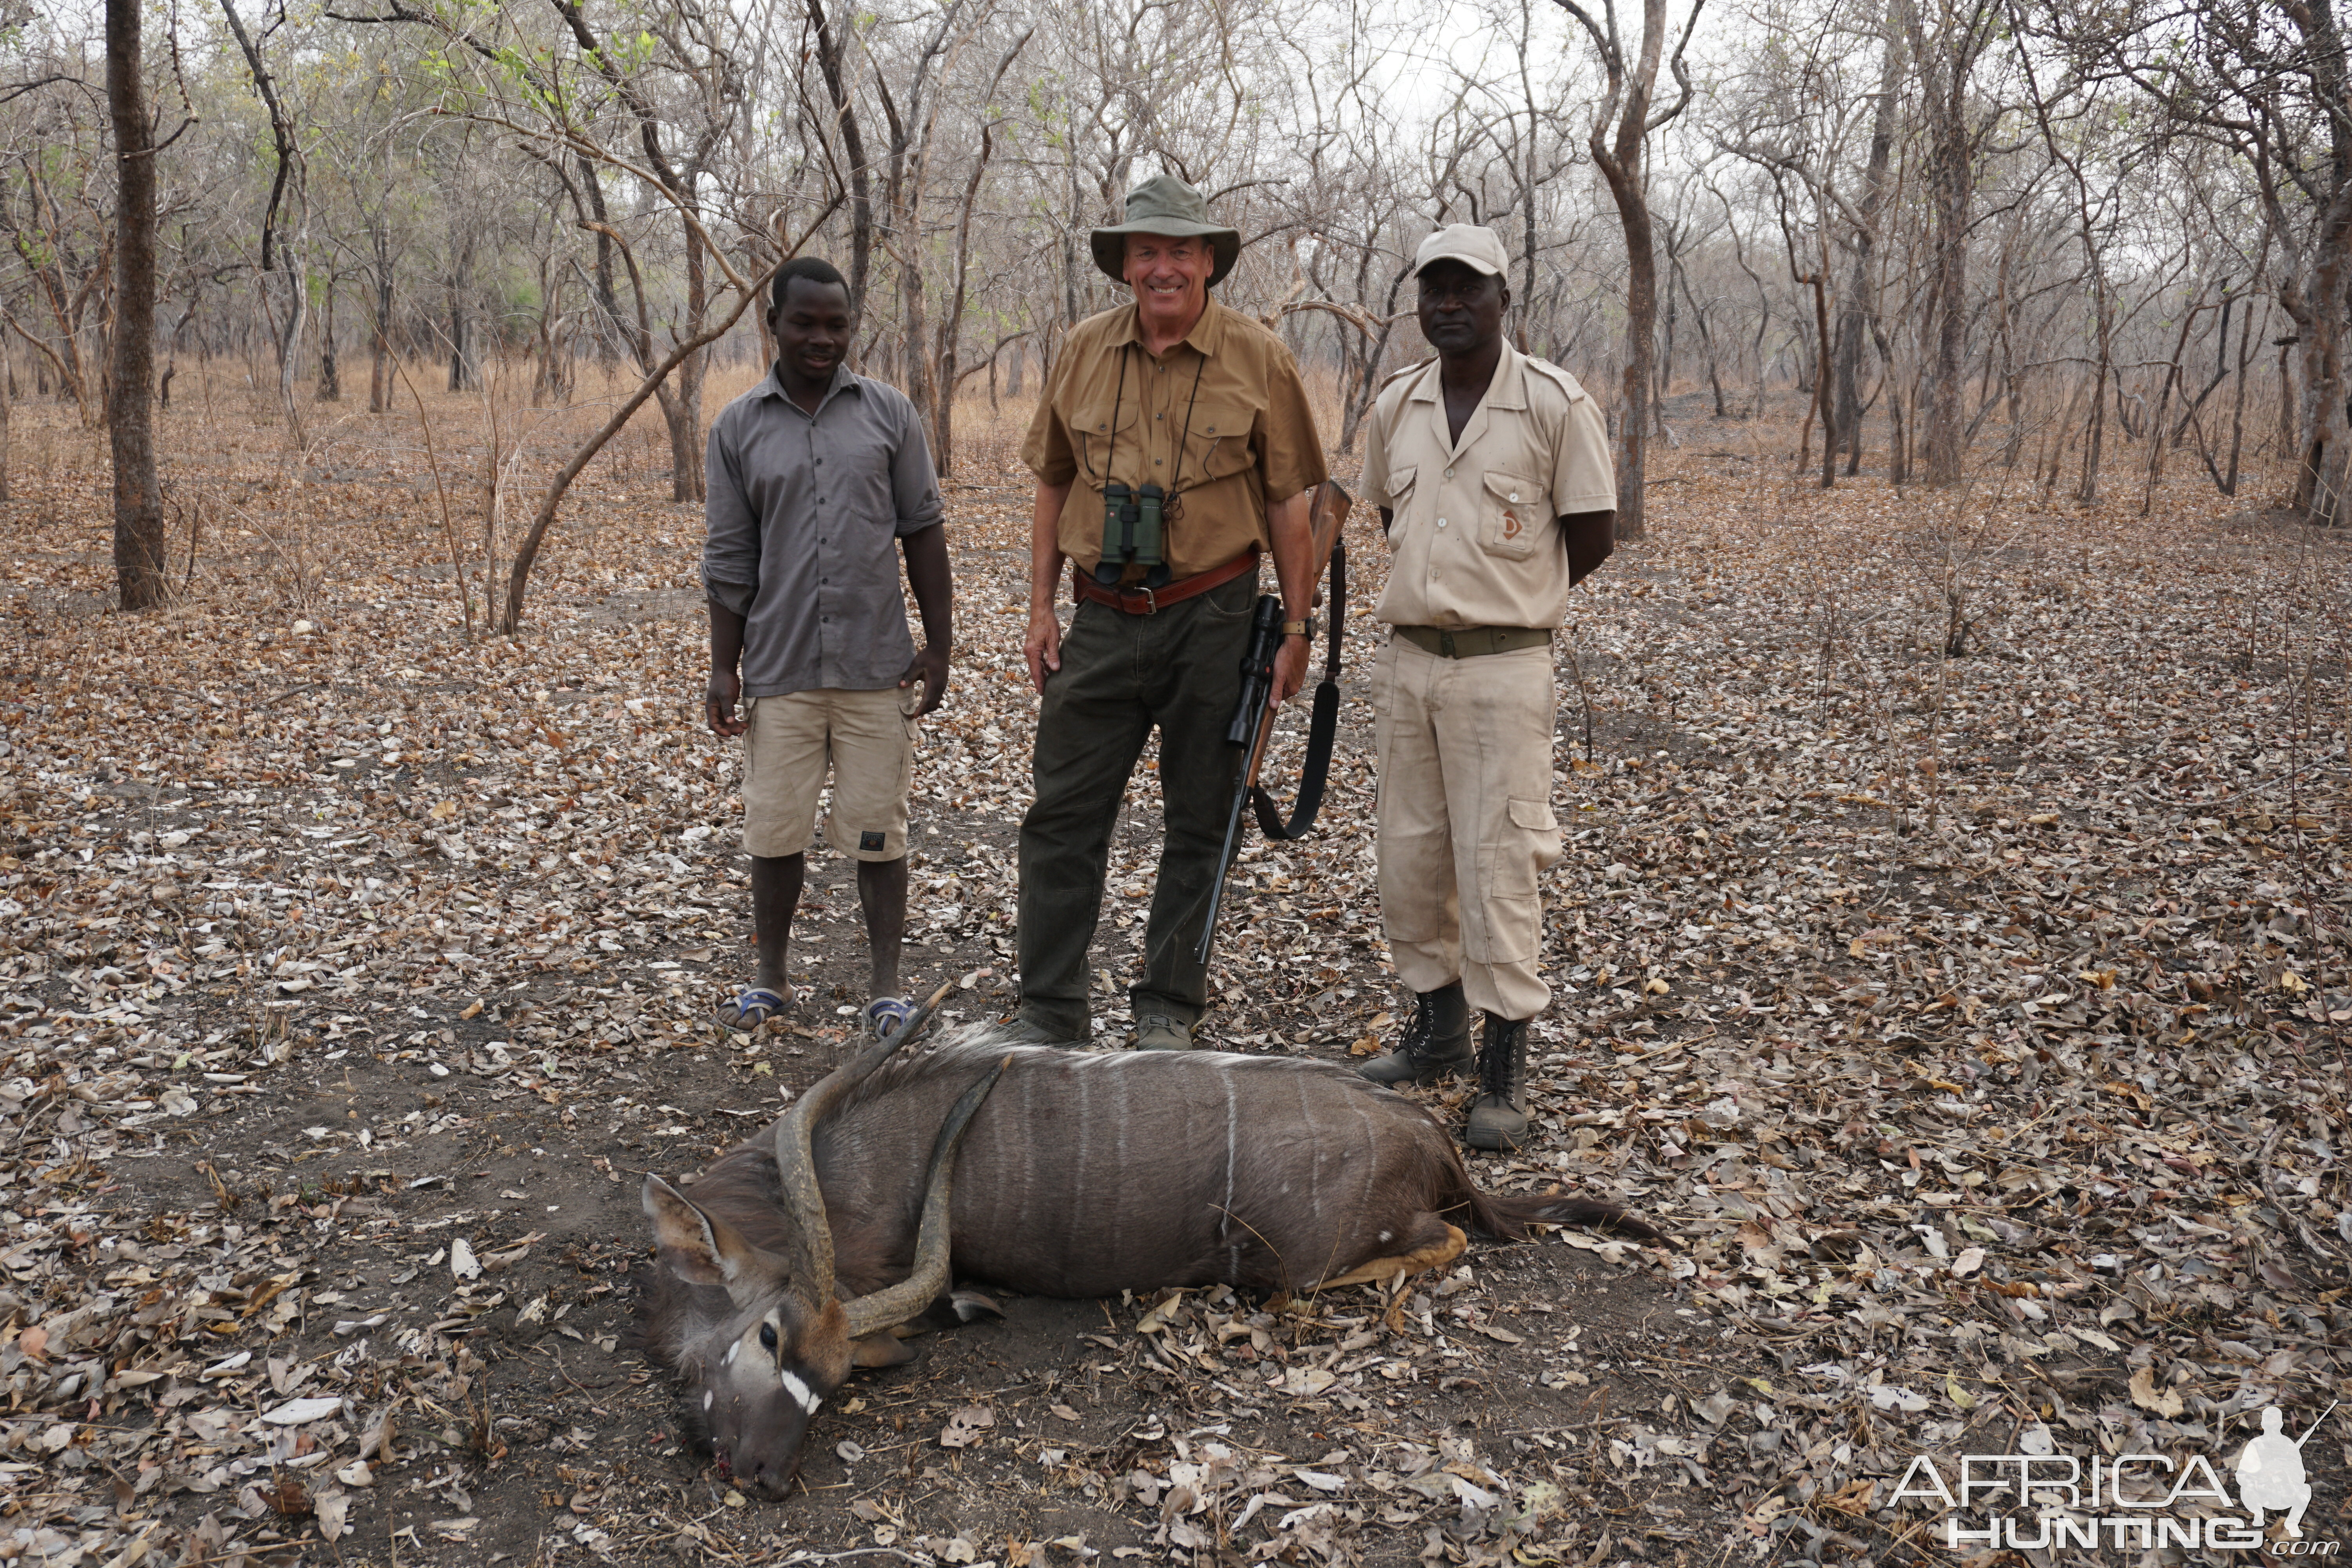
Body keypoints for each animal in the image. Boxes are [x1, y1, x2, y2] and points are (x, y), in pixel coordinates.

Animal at [640, 1001, 1656, 1504]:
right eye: (771, 1339)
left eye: (818, 1365)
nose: (765, 1475)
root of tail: (1427, 1132)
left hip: (1304, 1255)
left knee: (1434, 1241)